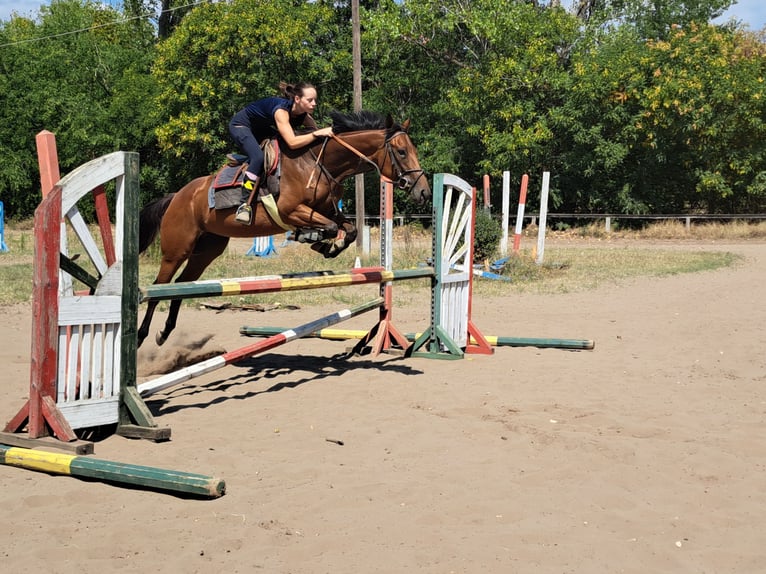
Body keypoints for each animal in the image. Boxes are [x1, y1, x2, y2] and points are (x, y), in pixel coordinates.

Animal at [136, 110, 431, 348]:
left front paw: (327, 246)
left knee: (181, 284)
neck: (319, 164)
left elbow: (348, 230)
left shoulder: (328, 210)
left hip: (207, 249)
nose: (424, 192)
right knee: (159, 287)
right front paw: (313, 238)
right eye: (402, 152)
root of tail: (177, 196)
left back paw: (165, 332)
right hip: (176, 249)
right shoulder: (291, 211)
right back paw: (141, 336)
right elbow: (329, 226)